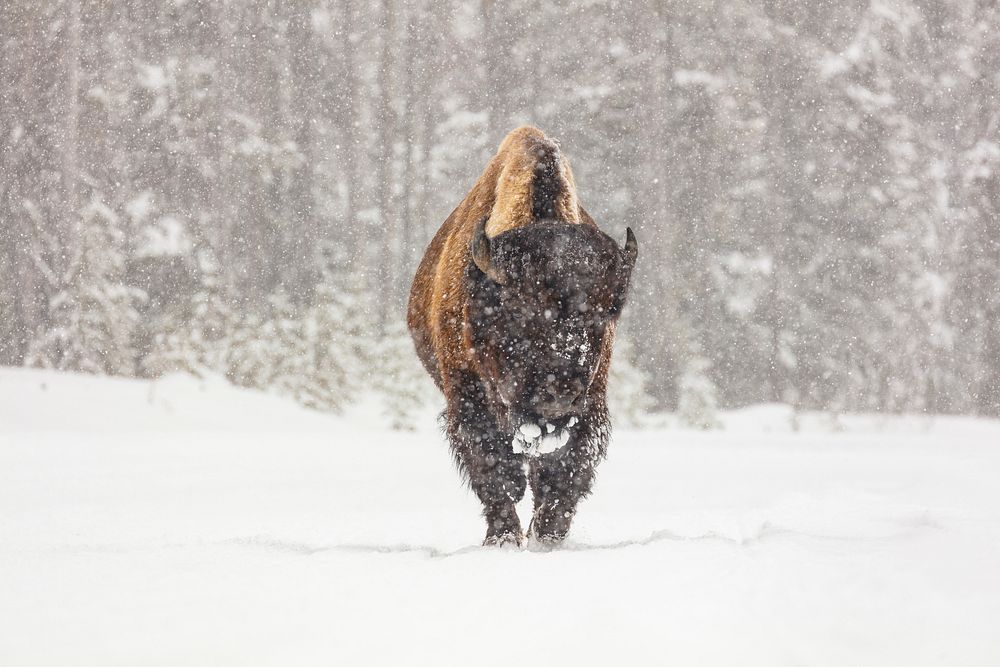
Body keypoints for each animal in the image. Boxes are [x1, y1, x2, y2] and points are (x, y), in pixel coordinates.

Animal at [408, 125, 636, 548]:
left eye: (604, 315)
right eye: (519, 312)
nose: (558, 392)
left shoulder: (590, 405)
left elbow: (566, 471)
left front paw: (546, 536)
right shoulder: (466, 395)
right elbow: (494, 467)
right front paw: (502, 538)